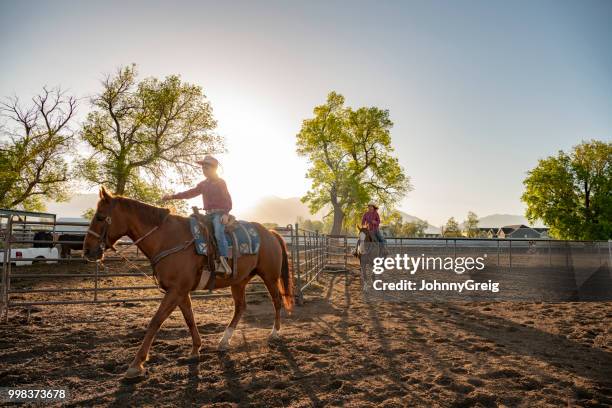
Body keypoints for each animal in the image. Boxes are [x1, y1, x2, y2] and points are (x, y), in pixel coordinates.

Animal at [83, 186, 294, 378]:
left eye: (100, 217)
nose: (87, 250)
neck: (167, 239)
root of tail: (270, 233)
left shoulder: (176, 291)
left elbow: (156, 321)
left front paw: (136, 364)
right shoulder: (181, 291)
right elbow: (189, 319)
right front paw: (195, 351)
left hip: (269, 276)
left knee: (276, 300)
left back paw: (274, 333)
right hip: (239, 281)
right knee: (240, 307)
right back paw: (224, 341)